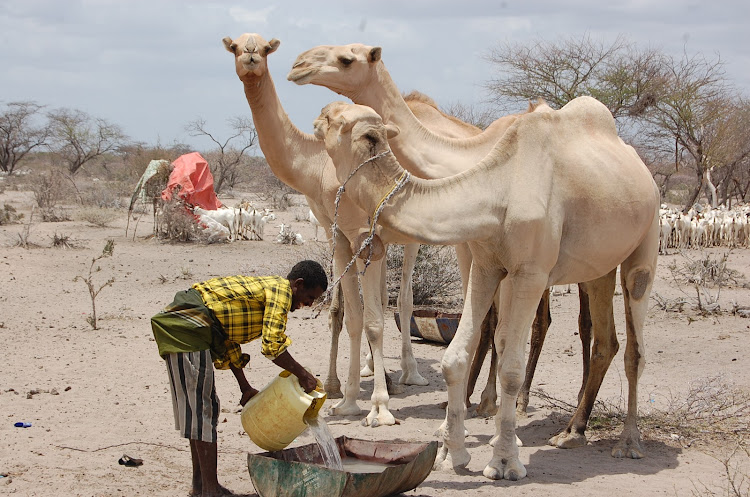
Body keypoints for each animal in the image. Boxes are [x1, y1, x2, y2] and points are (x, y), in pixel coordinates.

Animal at [290, 42, 596, 416]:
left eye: (346, 59)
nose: (298, 65)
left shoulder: (478, 246)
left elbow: (486, 320)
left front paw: (472, 400)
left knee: (577, 321)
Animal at [314, 101, 660, 480]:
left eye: (339, 121)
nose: (317, 120)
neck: (499, 188)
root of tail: (643, 170)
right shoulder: (486, 265)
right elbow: (455, 357)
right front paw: (451, 453)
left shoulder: (530, 273)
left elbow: (511, 368)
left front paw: (505, 461)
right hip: (600, 264)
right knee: (606, 340)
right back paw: (571, 432)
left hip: (647, 241)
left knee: (636, 343)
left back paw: (628, 442)